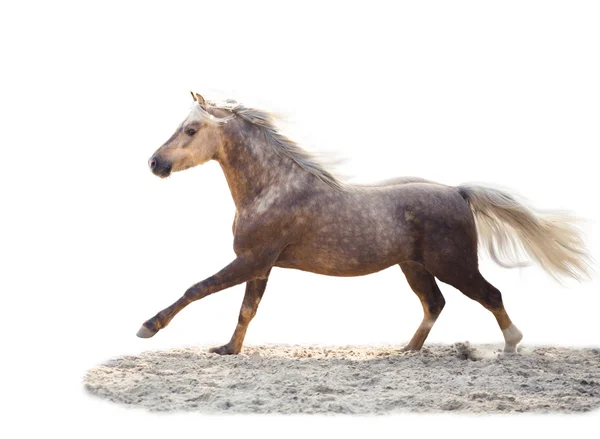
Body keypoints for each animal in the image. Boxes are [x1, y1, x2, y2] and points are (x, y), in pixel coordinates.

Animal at [137, 91, 592, 356]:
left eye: (191, 129)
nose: (155, 163)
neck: (274, 188)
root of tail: (457, 192)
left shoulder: (252, 259)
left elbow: (197, 288)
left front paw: (148, 328)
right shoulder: (260, 265)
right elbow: (246, 309)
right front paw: (227, 350)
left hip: (453, 265)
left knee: (489, 294)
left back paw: (511, 346)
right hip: (415, 266)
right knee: (435, 304)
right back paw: (404, 351)